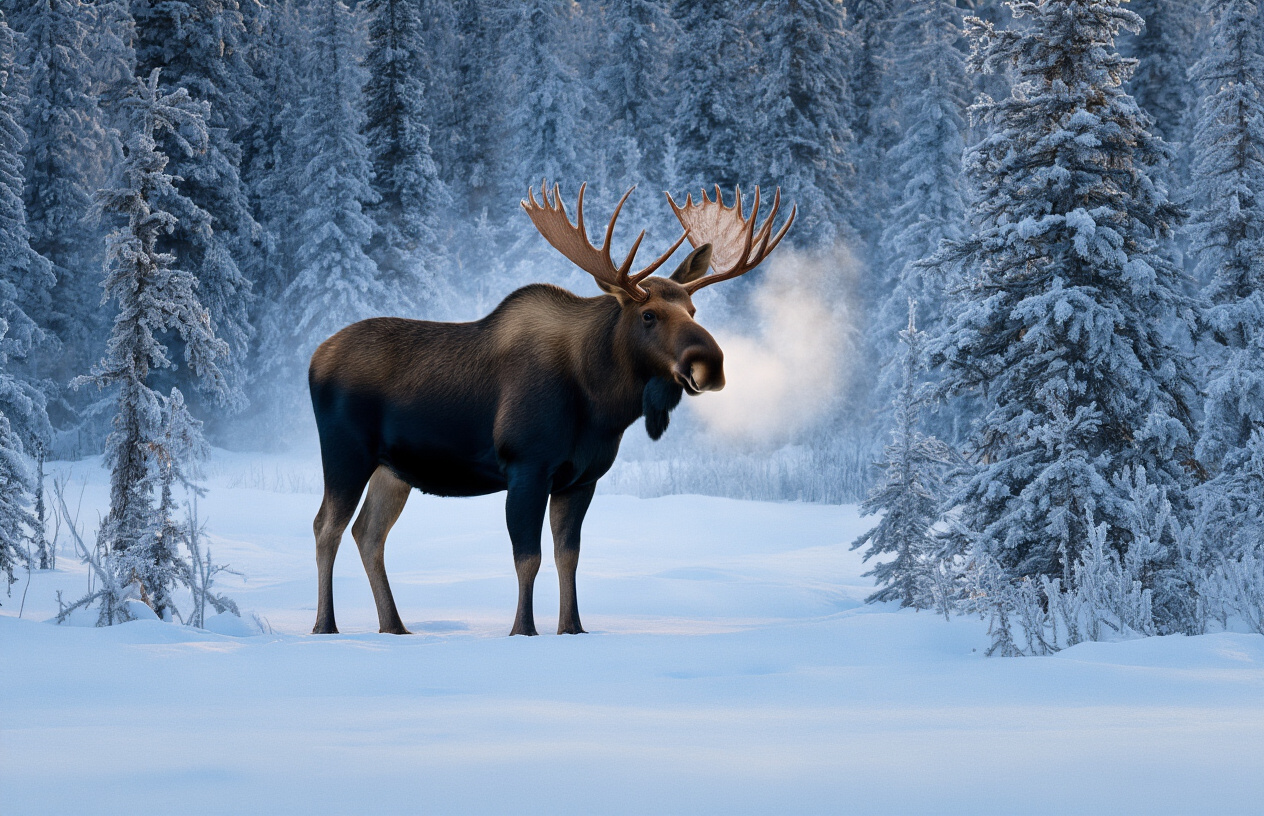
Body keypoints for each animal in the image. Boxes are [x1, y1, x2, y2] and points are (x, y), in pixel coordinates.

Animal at [308, 182, 794, 636]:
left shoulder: (581, 478)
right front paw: (523, 629)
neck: (600, 405)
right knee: (326, 526)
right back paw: (325, 626)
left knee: (368, 533)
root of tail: (314, 358)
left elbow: (568, 556)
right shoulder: (527, 466)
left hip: (393, 469)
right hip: (346, 453)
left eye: (693, 309)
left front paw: (572, 627)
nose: (709, 363)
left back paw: (394, 626)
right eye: (648, 315)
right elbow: (528, 556)